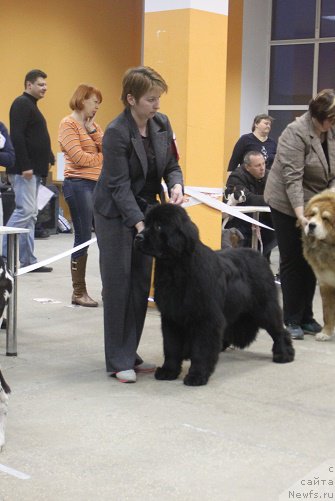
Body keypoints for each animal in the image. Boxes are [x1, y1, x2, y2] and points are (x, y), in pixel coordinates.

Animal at [135, 203, 296, 386]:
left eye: (158, 226)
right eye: (146, 223)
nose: (138, 237)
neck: (176, 268)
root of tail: (259, 255)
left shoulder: (206, 317)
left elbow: (201, 349)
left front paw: (197, 375)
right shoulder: (171, 317)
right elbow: (171, 346)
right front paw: (169, 371)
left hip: (264, 307)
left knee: (279, 330)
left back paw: (283, 354)